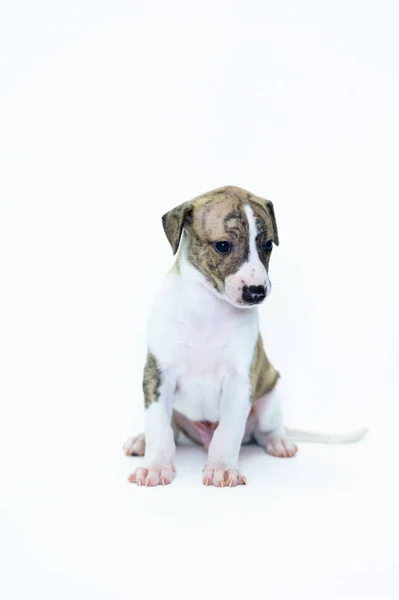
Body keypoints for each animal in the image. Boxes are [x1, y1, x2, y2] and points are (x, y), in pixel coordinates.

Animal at [123, 186, 368, 488]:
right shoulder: (158, 374)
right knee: (170, 427)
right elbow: (159, 426)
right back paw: (141, 440)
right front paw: (155, 466)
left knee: (266, 431)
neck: (210, 307)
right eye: (223, 245)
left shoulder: (240, 380)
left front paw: (221, 468)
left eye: (268, 245)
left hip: (269, 400)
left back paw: (279, 442)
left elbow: (228, 432)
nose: (257, 291)